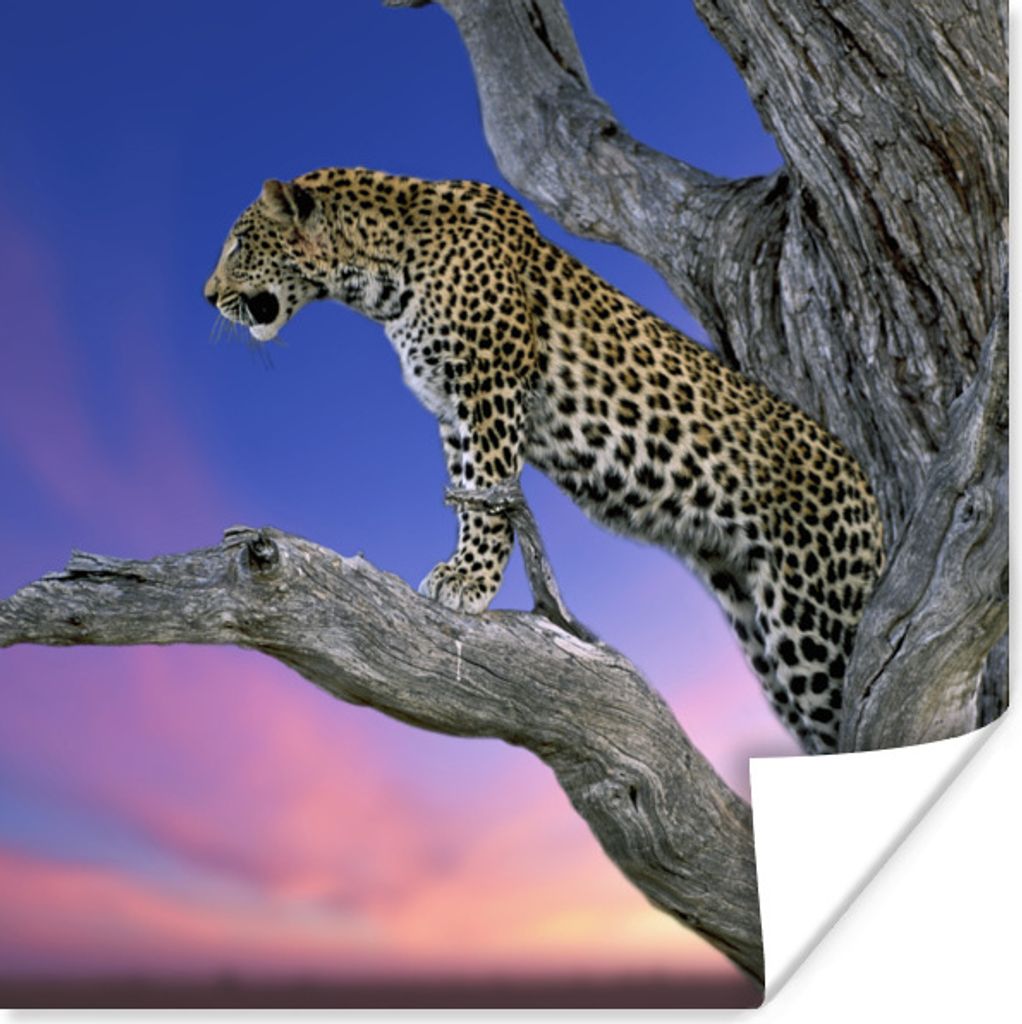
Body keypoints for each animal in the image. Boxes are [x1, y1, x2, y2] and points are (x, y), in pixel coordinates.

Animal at [204, 167, 885, 753]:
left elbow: (489, 494)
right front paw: (462, 569)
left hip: (811, 621)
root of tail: (868, 489)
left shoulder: (491, 386)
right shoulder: (452, 409)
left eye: (238, 245)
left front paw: (469, 582)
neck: (379, 275)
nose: (208, 296)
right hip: (759, 627)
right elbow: (468, 492)